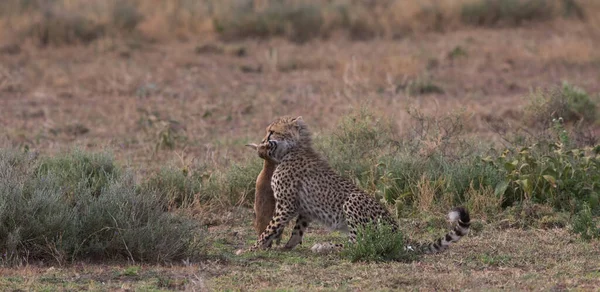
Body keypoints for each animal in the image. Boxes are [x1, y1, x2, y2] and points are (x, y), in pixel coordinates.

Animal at [243, 116, 468, 253]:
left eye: (272, 131)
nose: (263, 141)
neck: (292, 149)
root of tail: (398, 232)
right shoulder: (303, 207)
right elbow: (297, 230)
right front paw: (287, 247)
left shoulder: (286, 205)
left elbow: (269, 228)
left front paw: (250, 249)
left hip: (353, 199)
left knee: (359, 244)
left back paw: (325, 246)